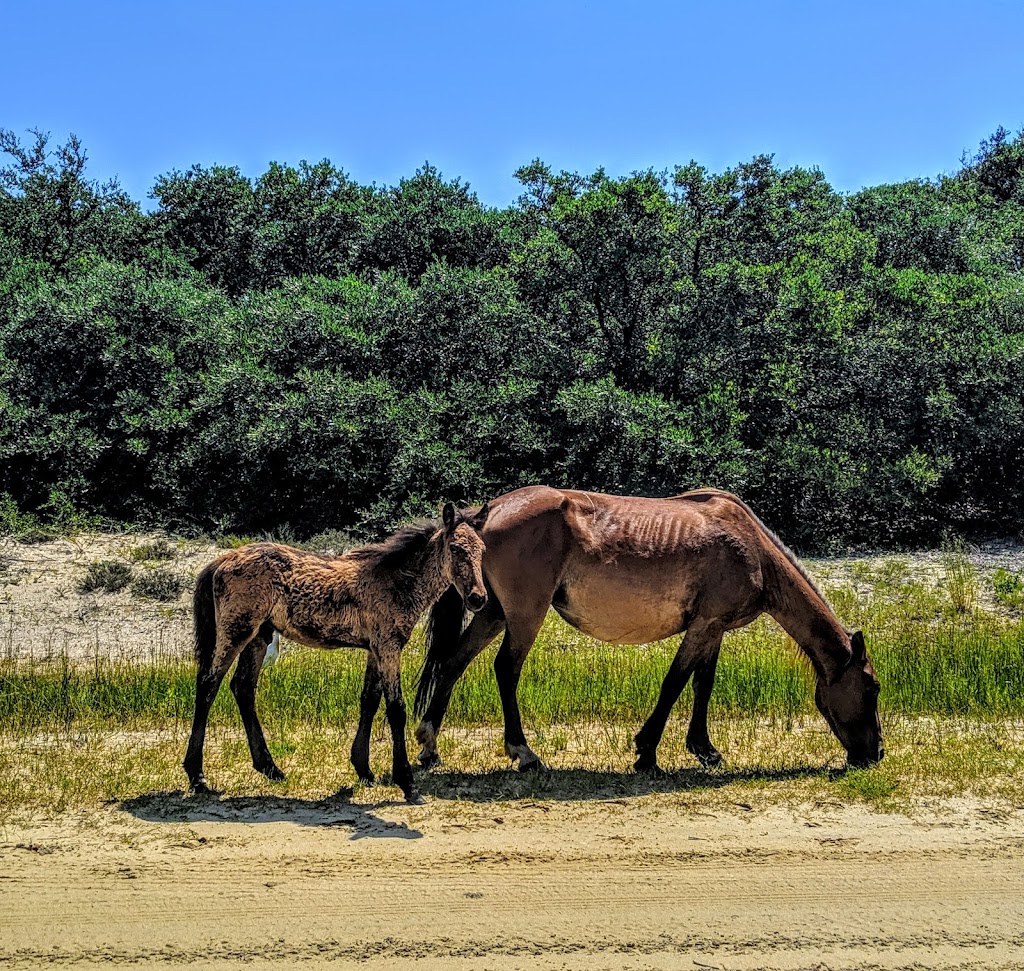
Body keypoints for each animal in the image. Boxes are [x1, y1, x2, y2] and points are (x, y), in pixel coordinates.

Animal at [187, 499, 491, 803]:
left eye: (482, 550)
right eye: (456, 548)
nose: (478, 598)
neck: (394, 581)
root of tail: (220, 561)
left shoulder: (375, 649)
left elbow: (369, 700)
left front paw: (364, 769)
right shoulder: (388, 647)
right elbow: (396, 709)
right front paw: (407, 782)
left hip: (259, 637)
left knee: (243, 688)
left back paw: (270, 767)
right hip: (236, 630)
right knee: (208, 685)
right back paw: (197, 776)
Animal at [411, 489, 884, 778]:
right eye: (873, 687)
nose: (876, 753)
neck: (751, 548)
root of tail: (482, 516)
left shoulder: (712, 629)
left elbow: (702, 685)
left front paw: (704, 749)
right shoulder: (705, 626)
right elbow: (674, 683)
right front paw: (647, 752)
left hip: (492, 611)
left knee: (453, 662)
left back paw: (429, 746)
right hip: (525, 614)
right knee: (505, 670)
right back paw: (524, 753)